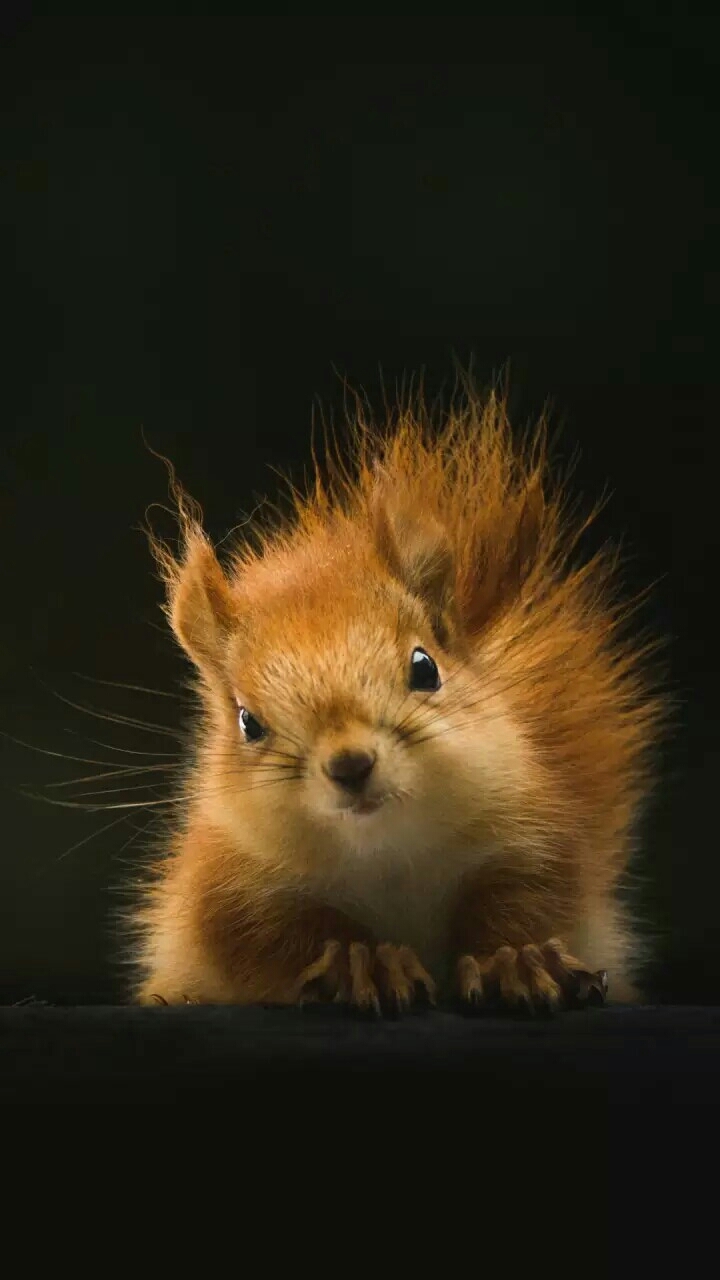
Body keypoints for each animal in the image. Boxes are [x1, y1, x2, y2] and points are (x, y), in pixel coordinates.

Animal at [127, 382, 665, 1013]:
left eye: (425, 667)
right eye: (247, 723)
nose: (350, 764)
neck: (385, 852)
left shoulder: (532, 832)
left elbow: (528, 901)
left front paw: (517, 959)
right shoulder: (228, 885)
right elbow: (274, 938)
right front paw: (364, 963)